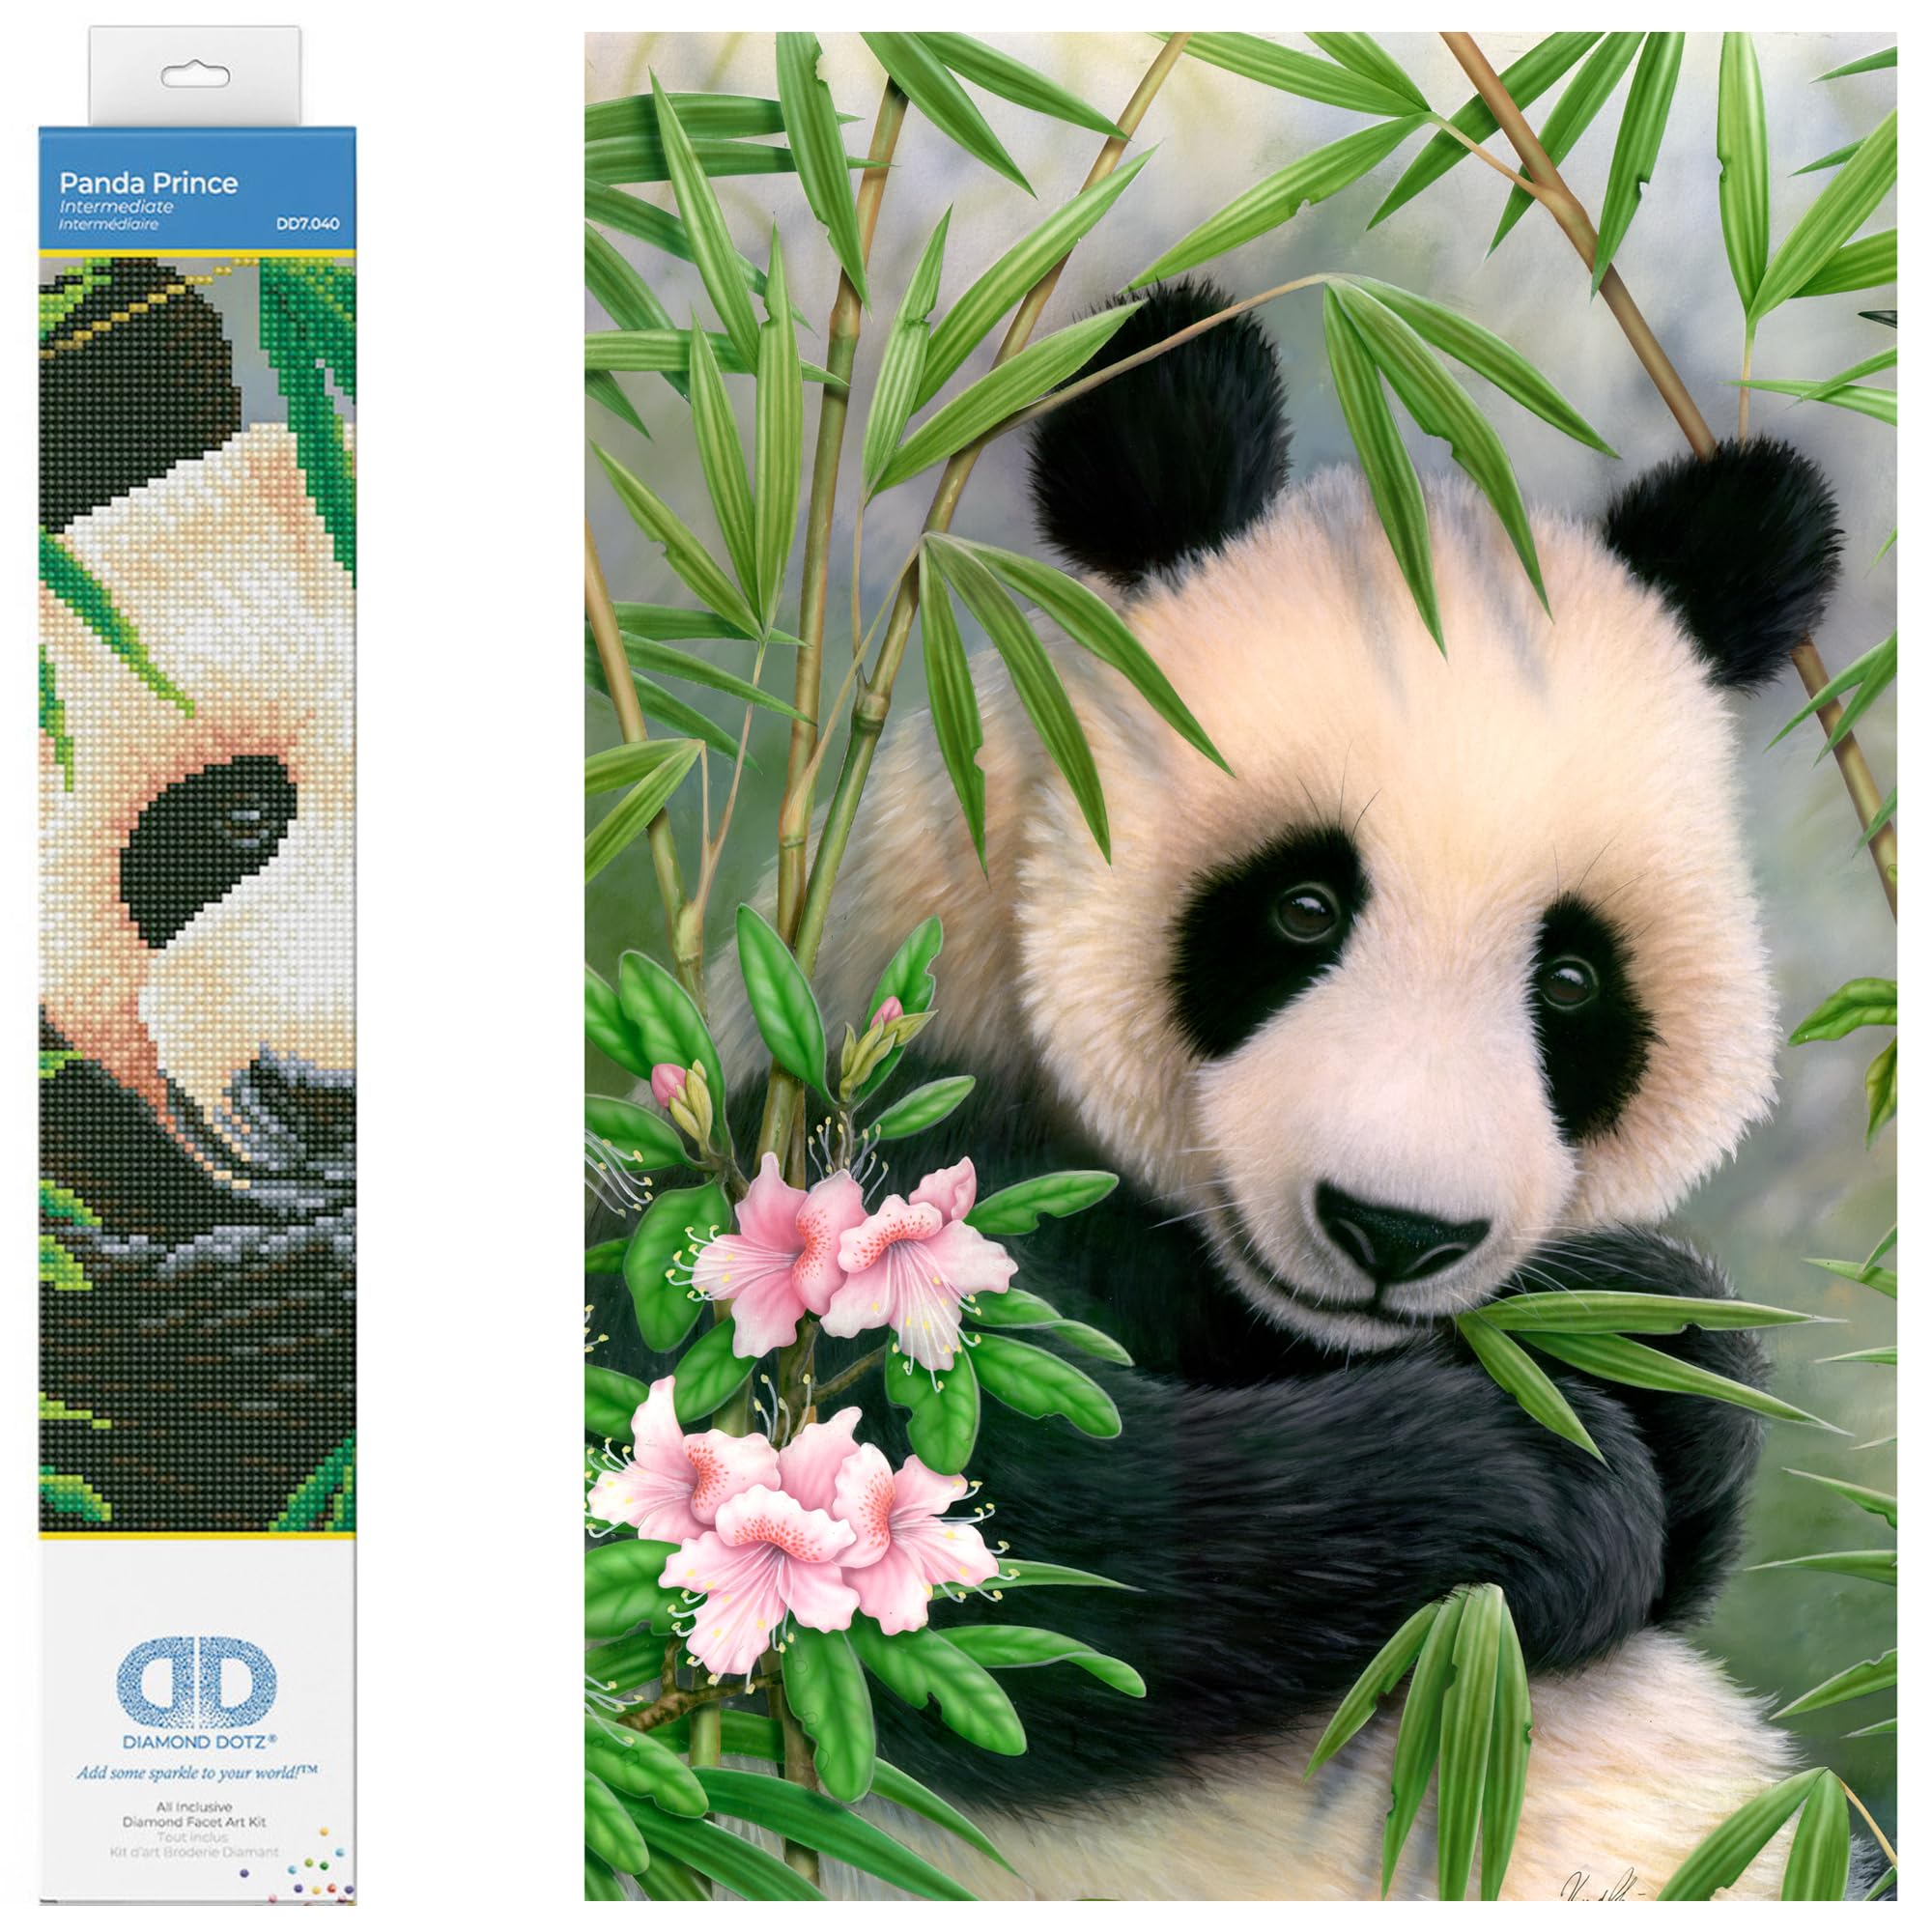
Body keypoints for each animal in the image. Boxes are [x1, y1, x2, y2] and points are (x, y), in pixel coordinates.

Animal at [662, 282, 1861, 1900]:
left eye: (1570, 982)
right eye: (1301, 908)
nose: (1399, 1232)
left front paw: (1638, 1352)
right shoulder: (833, 1166)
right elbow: (969, 1536)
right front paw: (1542, 1485)